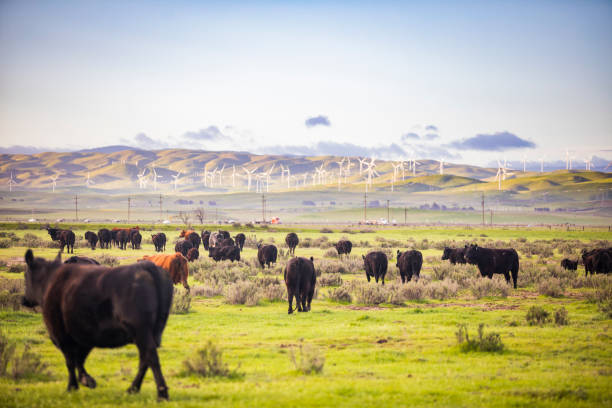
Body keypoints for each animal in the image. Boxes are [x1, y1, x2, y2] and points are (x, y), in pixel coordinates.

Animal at [22, 250, 172, 400]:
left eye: (25, 275)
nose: (24, 300)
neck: (49, 281)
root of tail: (145, 267)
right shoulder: (85, 335)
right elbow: (79, 359)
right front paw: (87, 380)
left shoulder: (61, 335)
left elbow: (71, 361)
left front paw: (73, 386)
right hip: (149, 333)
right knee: (145, 359)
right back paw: (133, 389)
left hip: (141, 332)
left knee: (150, 356)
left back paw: (161, 393)